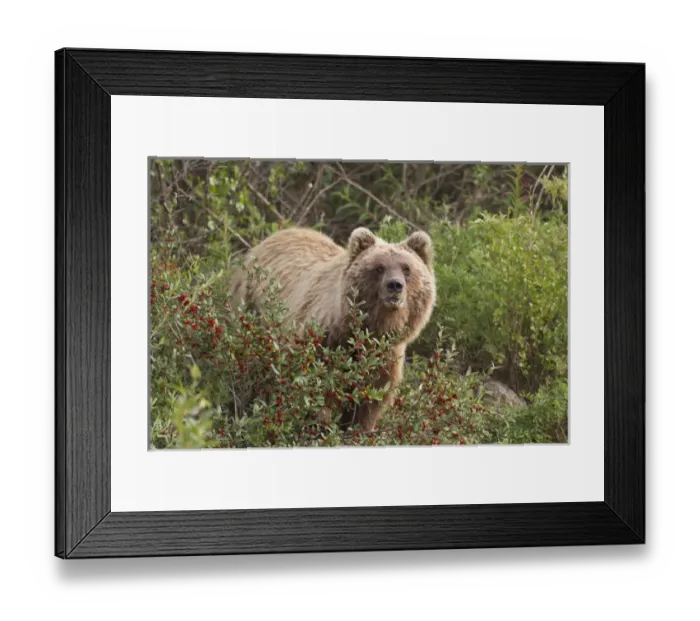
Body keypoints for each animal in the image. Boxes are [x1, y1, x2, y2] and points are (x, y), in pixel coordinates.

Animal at [229, 226, 437, 433]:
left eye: (406, 268)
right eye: (379, 268)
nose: (394, 285)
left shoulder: (385, 358)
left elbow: (369, 403)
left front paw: (358, 429)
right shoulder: (321, 341)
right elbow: (313, 390)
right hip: (250, 311)